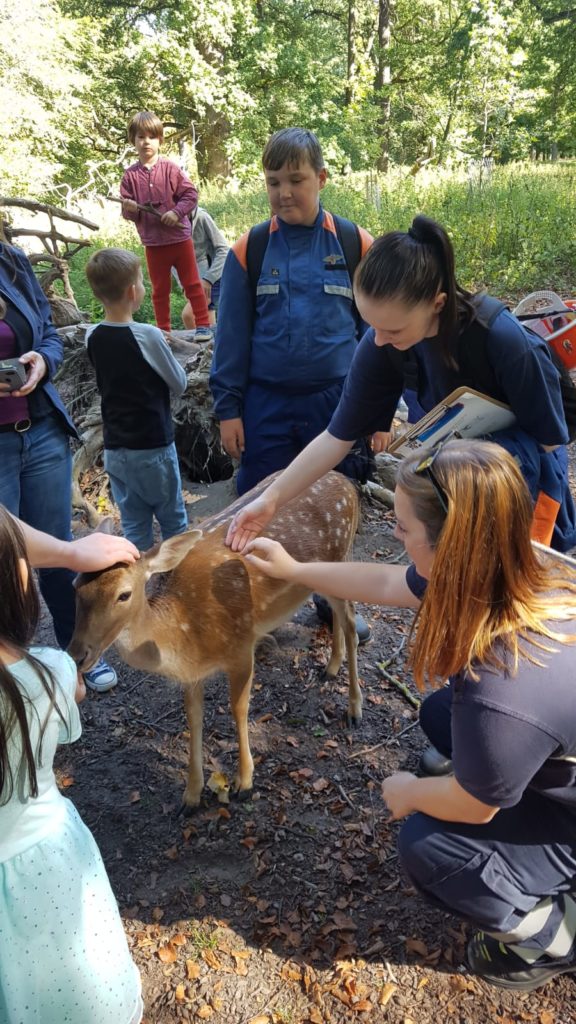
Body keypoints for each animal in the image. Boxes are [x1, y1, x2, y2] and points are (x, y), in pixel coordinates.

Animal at [67, 471, 358, 815]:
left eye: (124, 594)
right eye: (75, 585)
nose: (76, 654)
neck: (185, 635)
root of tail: (349, 485)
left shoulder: (242, 645)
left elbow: (239, 708)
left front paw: (243, 782)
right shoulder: (193, 675)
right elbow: (194, 718)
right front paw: (191, 796)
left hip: (339, 555)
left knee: (351, 623)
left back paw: (354, 709)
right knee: (338, 615)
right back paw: (331, 667)